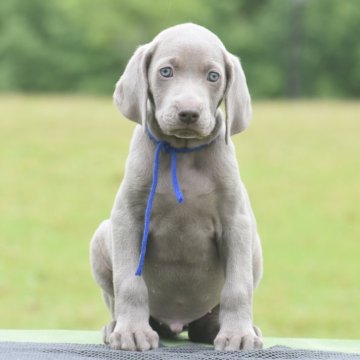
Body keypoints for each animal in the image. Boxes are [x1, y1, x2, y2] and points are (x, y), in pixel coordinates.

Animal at [90, 23, 262, 352]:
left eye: (213, 76)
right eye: (166, 71)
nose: (188, 113)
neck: (183, 153)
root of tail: (177, 323)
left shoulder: (237, 223)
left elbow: (237, 287)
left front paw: (238, 334)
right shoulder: (127, 219)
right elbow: (129, 283)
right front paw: (132, 332)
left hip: (255, 248)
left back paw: (216, 327)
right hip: (101, 236)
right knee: (114, 297)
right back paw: (117, 326)